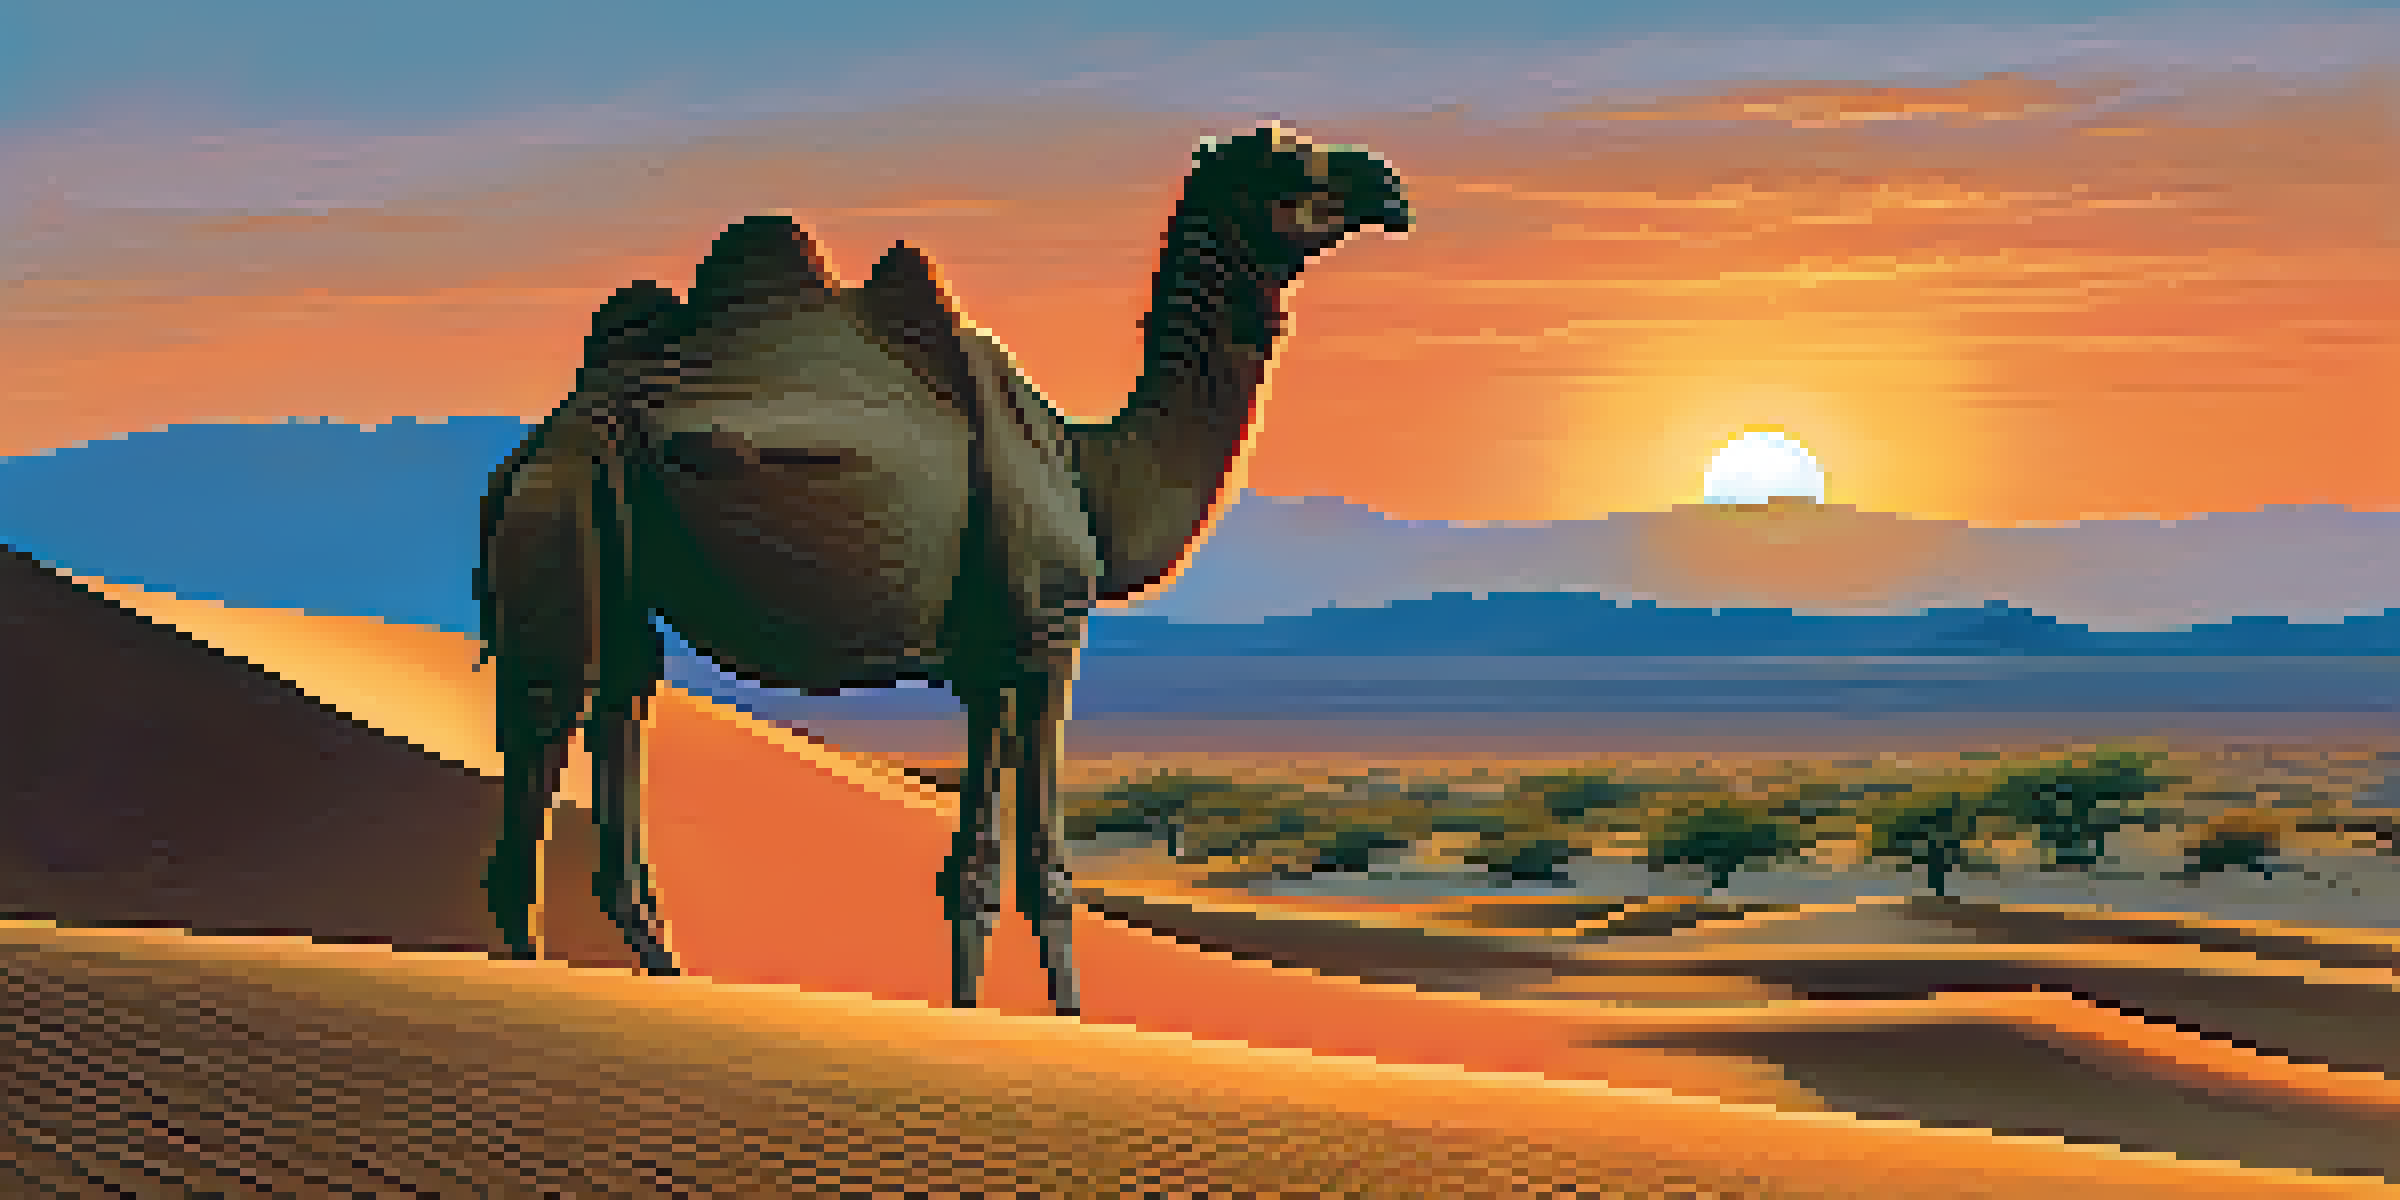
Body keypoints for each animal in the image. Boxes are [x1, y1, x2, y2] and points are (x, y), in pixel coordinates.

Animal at [475, 123, 1410, 1016]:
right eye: (1289, 168)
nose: (1388, 185)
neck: (1092, 476)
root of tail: (533, 446)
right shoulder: (1043, 635)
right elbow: (1031, 868)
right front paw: (1059, 1020)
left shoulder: (980, 663)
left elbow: (976, 868)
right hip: (566, 505)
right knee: (550, 719)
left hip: (614, 545)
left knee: (621, 699)